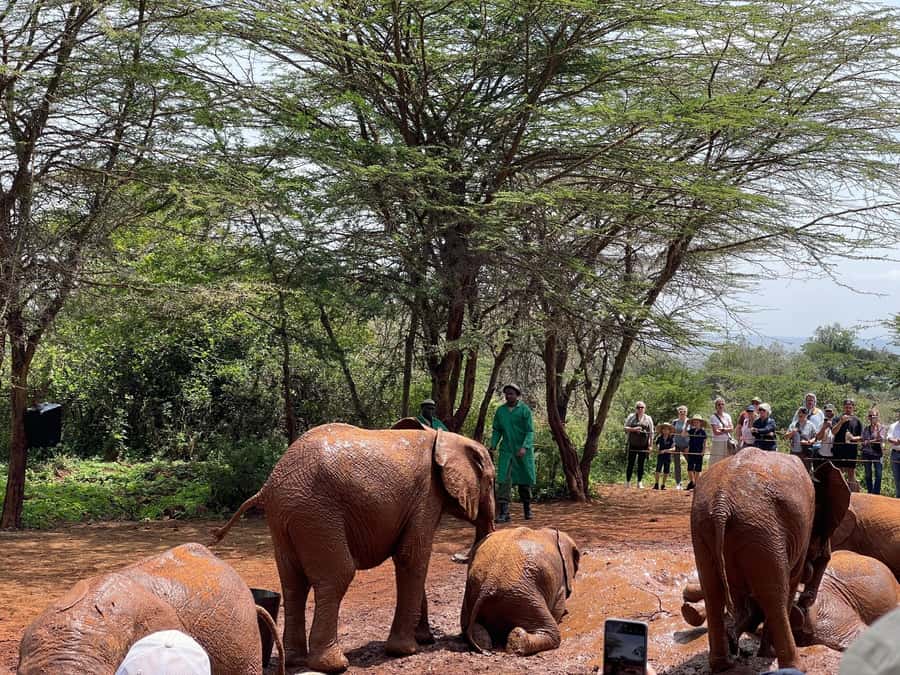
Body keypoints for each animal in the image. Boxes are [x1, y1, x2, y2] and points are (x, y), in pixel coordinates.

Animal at [211, 421, 496, 673]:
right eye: (492, 481)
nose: (458, 557)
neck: (446, 437)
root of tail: (269, 485)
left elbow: (411, 559)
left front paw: (424, 640)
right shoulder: (426, 497)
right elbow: (412, 557)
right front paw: (406, 650)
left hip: (285, 518)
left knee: (293, 582)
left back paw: (295, 661)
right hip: (316, 513)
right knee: (337, 575)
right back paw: (334, 665)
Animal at [460, 526, 580, 656]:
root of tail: (489, 583)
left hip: (474, 591)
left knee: (467, 627)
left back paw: (485, 644)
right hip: (523, 597)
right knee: (552, 632)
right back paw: (516, 640)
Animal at [690, 450, 850, 672]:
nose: (806, 601)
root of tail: (721, 503)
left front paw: (736, 636)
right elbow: (790, 582)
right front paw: (765, 652)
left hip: (706, 527)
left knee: (712, 592)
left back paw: (723, 663)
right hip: (762, 531)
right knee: (775, 595)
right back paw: (794, 666)